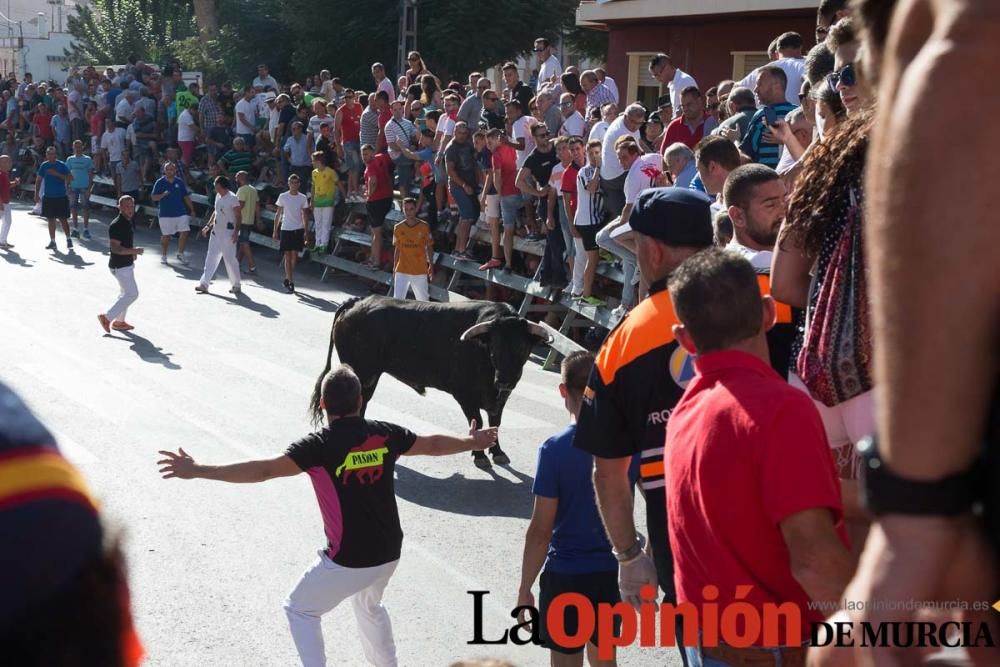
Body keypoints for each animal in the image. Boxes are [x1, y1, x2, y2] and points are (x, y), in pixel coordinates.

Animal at [308, 294, 552, 468]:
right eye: (495, 348)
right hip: (362, 372)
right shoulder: (465, 395)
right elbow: (479, 422)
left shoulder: (500, 398)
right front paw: (479, 454)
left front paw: (497, 452)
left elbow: (495, 423)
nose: (504, 381)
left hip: (370, 377)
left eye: (522, 348)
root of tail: (357, 302)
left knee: (363, 403)